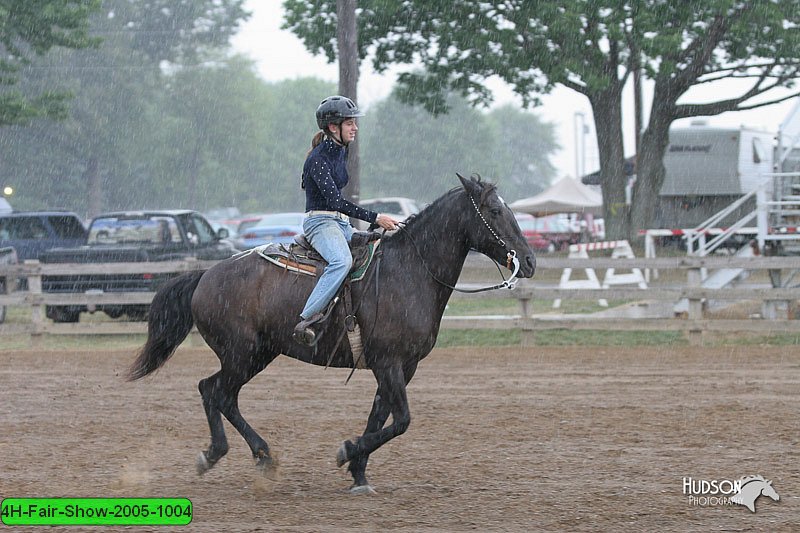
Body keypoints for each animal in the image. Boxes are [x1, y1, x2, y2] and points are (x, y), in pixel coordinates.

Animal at [128, 177, 536, 492]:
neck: (409, 270)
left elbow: (380, 416)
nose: (530, 261)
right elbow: (401, 420)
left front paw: (358, 473)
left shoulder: (401, 367)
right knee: (213, 391)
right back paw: (222, 455)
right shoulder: (389, 362)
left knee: (220, 394)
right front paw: (347, 451)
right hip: (242, 354)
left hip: (257, 354)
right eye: (495, 211)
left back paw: (260, 456)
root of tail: (206, 275)